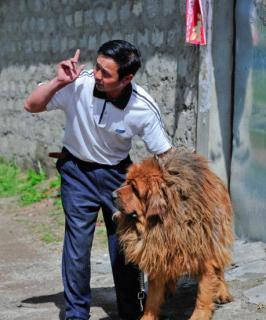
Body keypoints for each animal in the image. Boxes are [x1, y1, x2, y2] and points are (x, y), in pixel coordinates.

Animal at [114, 149, 233, 320]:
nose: (112, 195)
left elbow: (203, 291)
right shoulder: (157, 251)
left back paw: (222, 291)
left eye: (134, 189)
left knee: (220, 267)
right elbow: (152, 297)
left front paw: (199, 315)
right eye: (127, 182)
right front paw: (148, 316)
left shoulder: (205, 252)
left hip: (218, 235)